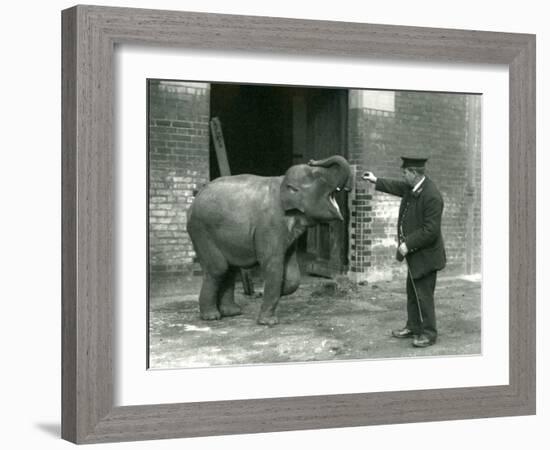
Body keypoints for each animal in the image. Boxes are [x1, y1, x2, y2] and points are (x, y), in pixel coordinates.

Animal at [189, 155, 354, 324]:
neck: (282, 182)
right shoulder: (270, 225)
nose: (312, 160)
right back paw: (211, 317)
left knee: (230, 269)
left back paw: (232, 312)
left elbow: (292, 274)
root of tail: (195, 199)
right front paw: (268, 322)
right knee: (218, 268)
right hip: (201, 231)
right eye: (317, 175)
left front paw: (279, 291)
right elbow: (272, 263)